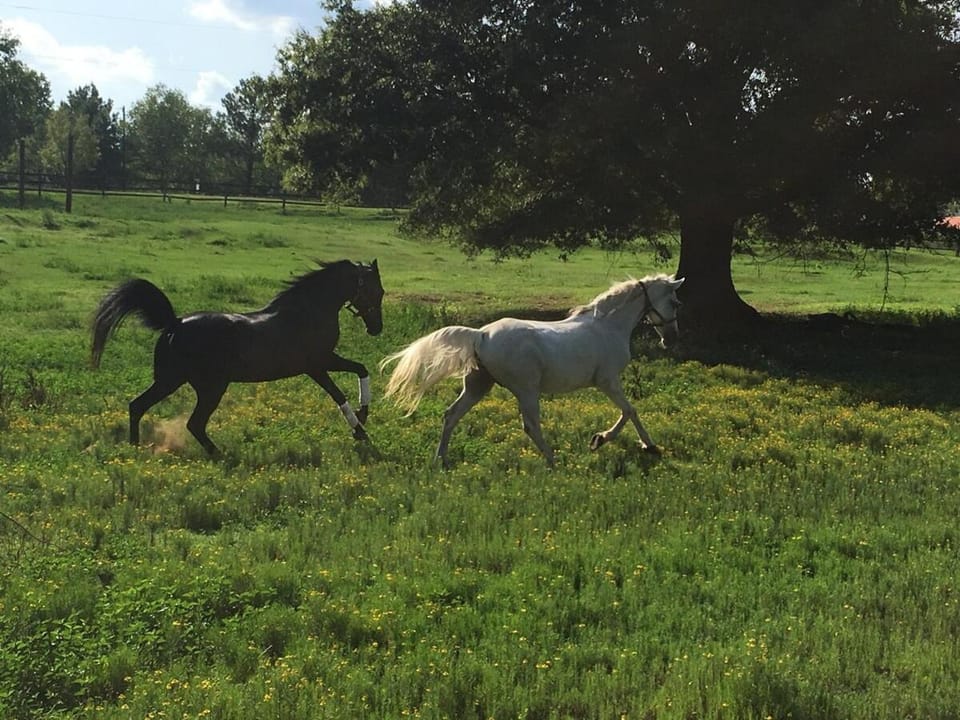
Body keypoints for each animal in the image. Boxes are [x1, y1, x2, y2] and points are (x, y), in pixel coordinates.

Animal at [91, 259, 384, 456]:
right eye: (377, 291)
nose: (377, 328)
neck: (307, 312)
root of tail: (174, 324)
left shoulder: (322, 362)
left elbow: (360, 369)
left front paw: (363, 417)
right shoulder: (317, 365)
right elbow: (340, 392)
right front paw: (361, 429)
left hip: (172, 380)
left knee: (138, 406)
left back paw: (134, 449)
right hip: (206, 386)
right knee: (193, 423)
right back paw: (221, 455)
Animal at [380, 274, 684, 468]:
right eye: (675, 302)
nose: (671, 339)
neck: (608, 326)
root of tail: (481, 334)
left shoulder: (607, 382)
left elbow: (629, 411)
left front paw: (613, 441)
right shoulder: (607, 381)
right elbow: (630, 410)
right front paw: (620, 442)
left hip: (479, 386)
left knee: (451, 414)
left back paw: (440, 459)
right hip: (526, 389)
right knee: (531, 425)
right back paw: (553, 460)